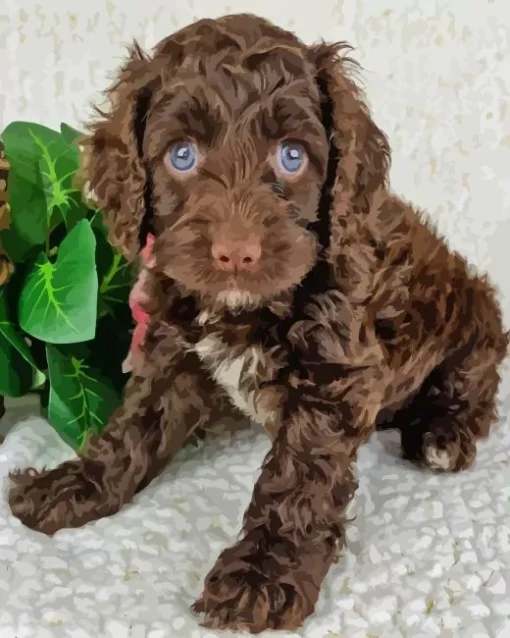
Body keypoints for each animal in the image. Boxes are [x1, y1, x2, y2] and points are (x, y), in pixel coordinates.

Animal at [7, 13, 510, 636]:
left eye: (292, 156)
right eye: (181, 155)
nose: (236, 253)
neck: (245, 308)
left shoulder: (334, 373)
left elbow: (297, 479)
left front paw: (262, 573)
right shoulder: (173, 348)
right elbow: (132, 427)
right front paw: (76, 484)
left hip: (473, 319)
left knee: (475, 383)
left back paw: (444, 433)